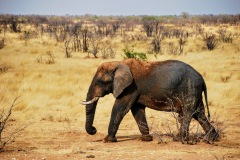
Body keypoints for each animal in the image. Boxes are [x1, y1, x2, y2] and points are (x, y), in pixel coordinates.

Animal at [81, 58, 218, 144]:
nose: (94, 129)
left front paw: (108, 140)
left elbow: (120, 108)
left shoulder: (130, 87)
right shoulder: (134, 90)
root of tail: (202, 78)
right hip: (194, 91)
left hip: (190, 88)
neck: (118, 63)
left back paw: (181, 140)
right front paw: (146, 139)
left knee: (188, 112)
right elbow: (137, 110)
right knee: (199, 113)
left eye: (100, 82)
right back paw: (210, 139)